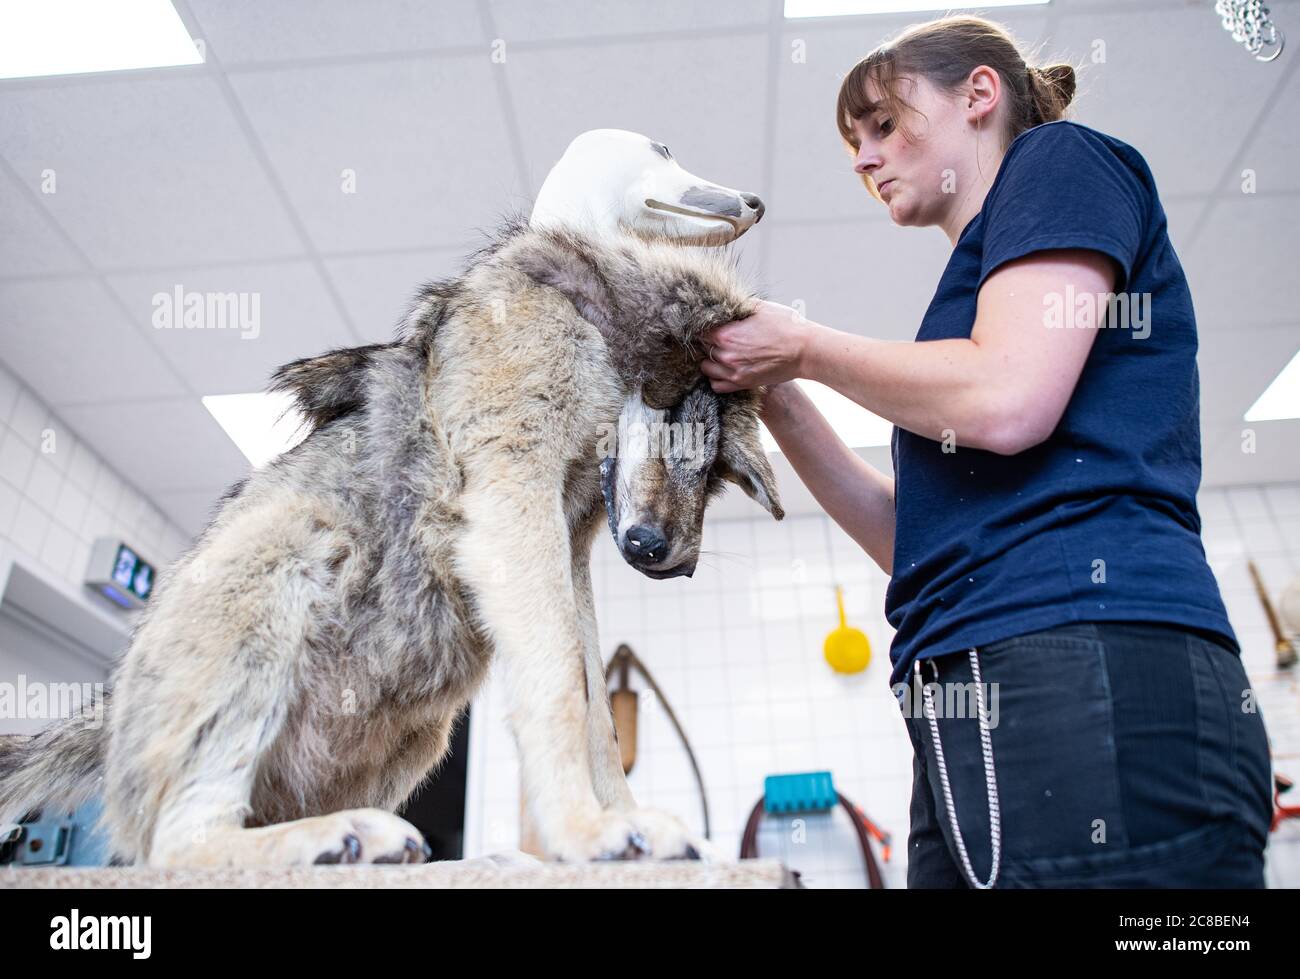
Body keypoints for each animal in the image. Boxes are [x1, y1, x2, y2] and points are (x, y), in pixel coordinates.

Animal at [0, 128, 780, 863]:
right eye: (665, 151)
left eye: (719, 471)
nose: (676, 563)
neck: (583, 301)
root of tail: (106, 715)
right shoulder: (513, 499)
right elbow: (561, 687)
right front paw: (590, 831)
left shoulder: (573, 555)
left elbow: (597, 714)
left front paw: (620, 825)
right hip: (284, 550)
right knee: (178, 844)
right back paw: (341, 838)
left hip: (424, 729)